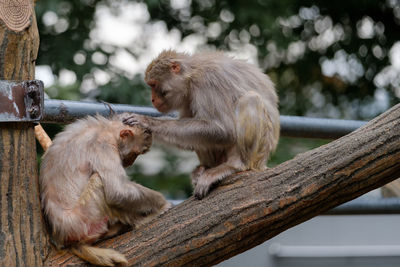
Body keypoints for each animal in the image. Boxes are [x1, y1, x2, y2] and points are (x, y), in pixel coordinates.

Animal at [40, 114, 170, 266]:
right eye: (136, 153)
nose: (131, 162)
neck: (106, 128)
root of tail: (62, 237)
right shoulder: (103, 144)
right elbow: (118, 192)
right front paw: (162, 203)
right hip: (85, 221)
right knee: (99, 180)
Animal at [123, 51, 280, 200]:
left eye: (153, 85)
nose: (152, 99)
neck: (191, 75)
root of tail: (263, 162)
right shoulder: (187, 95)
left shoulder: (207, 81)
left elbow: (223, 130)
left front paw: (147, 121)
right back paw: (204, 168)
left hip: (259, 154)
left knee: (251, 99)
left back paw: (235, 165)